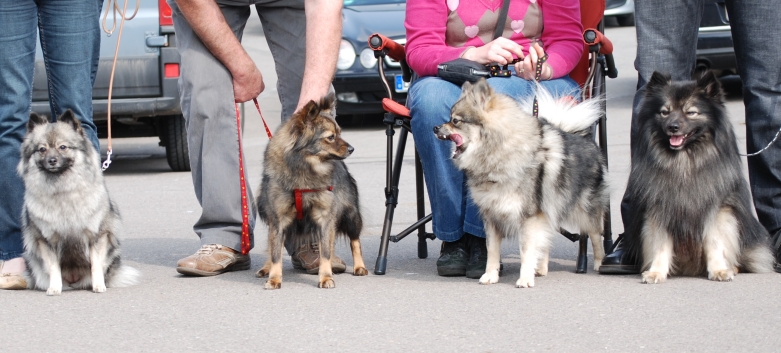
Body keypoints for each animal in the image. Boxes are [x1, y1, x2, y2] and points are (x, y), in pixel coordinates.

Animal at [17, 110, 138, 294]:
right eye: (42, 149)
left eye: (63, 147)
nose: (52, 160)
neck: (62, 190)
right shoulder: (46, 241)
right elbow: (53, 267)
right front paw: (54, 288)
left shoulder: (97, 236)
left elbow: (96, 265)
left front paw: (98, 286)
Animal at [432, 79, 608, 286]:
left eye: (455, 121)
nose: (435, 128)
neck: (496, 154)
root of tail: (581, 137)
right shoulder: (492, 217)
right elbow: (492, 251)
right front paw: (490, 275)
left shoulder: (528, 217)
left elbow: (526, 251)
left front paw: (524, 279)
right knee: (547, 239)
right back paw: (541, 268)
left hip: (585, 210)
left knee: (596, 236)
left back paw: (600, 263)